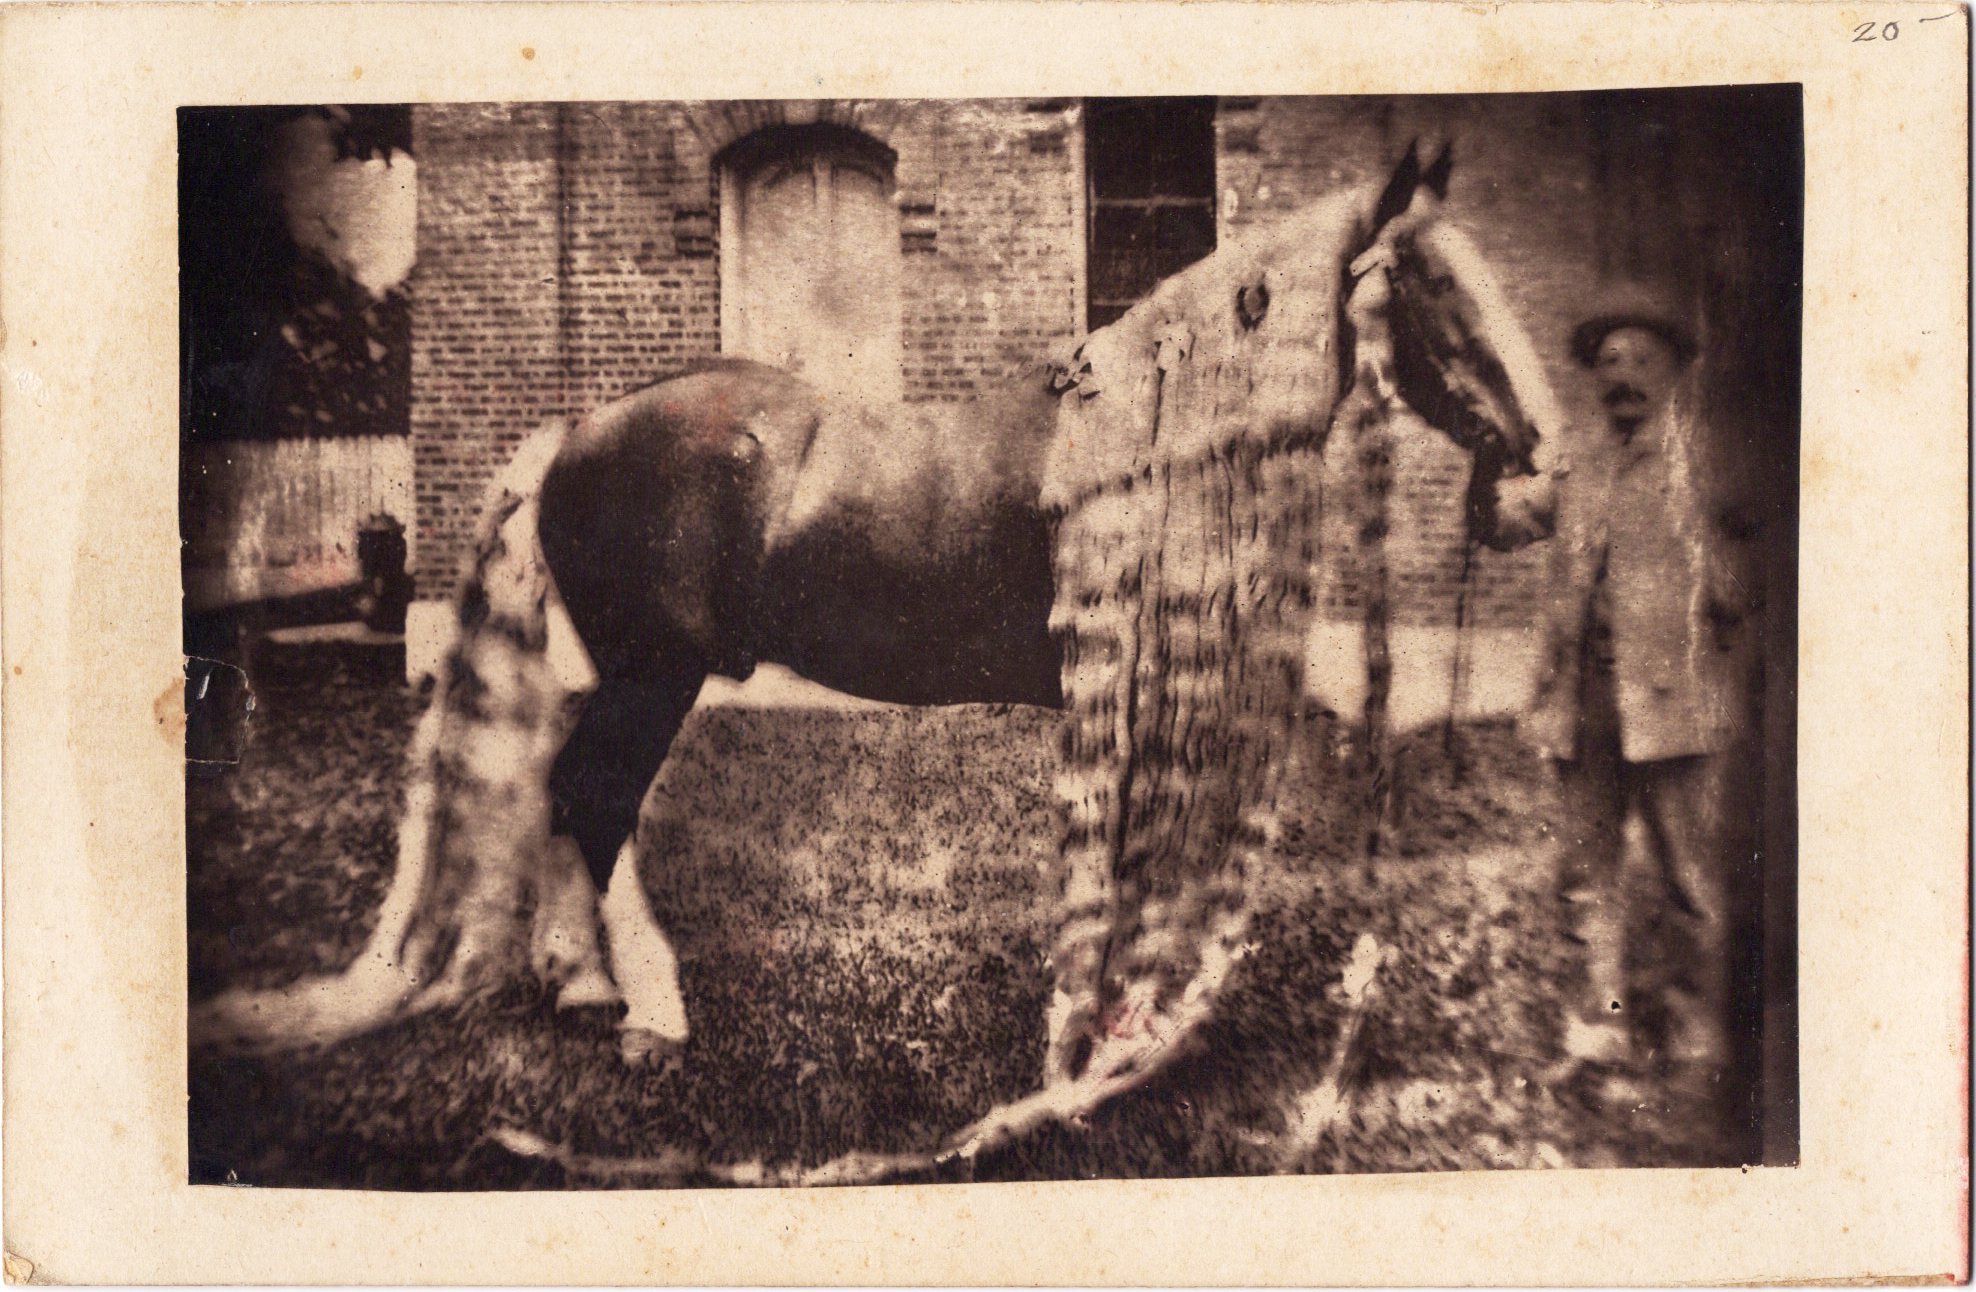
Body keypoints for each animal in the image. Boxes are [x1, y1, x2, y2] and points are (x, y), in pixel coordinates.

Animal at [191, 141, 1564, 1098]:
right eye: (1431, 283)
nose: (1540, 479)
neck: (1160, 436)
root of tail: (575, 432)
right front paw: (1096, 1047)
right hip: (653, 673)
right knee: (592, 794)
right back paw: (639, 1014)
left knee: (571, 795)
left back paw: (584, 986)